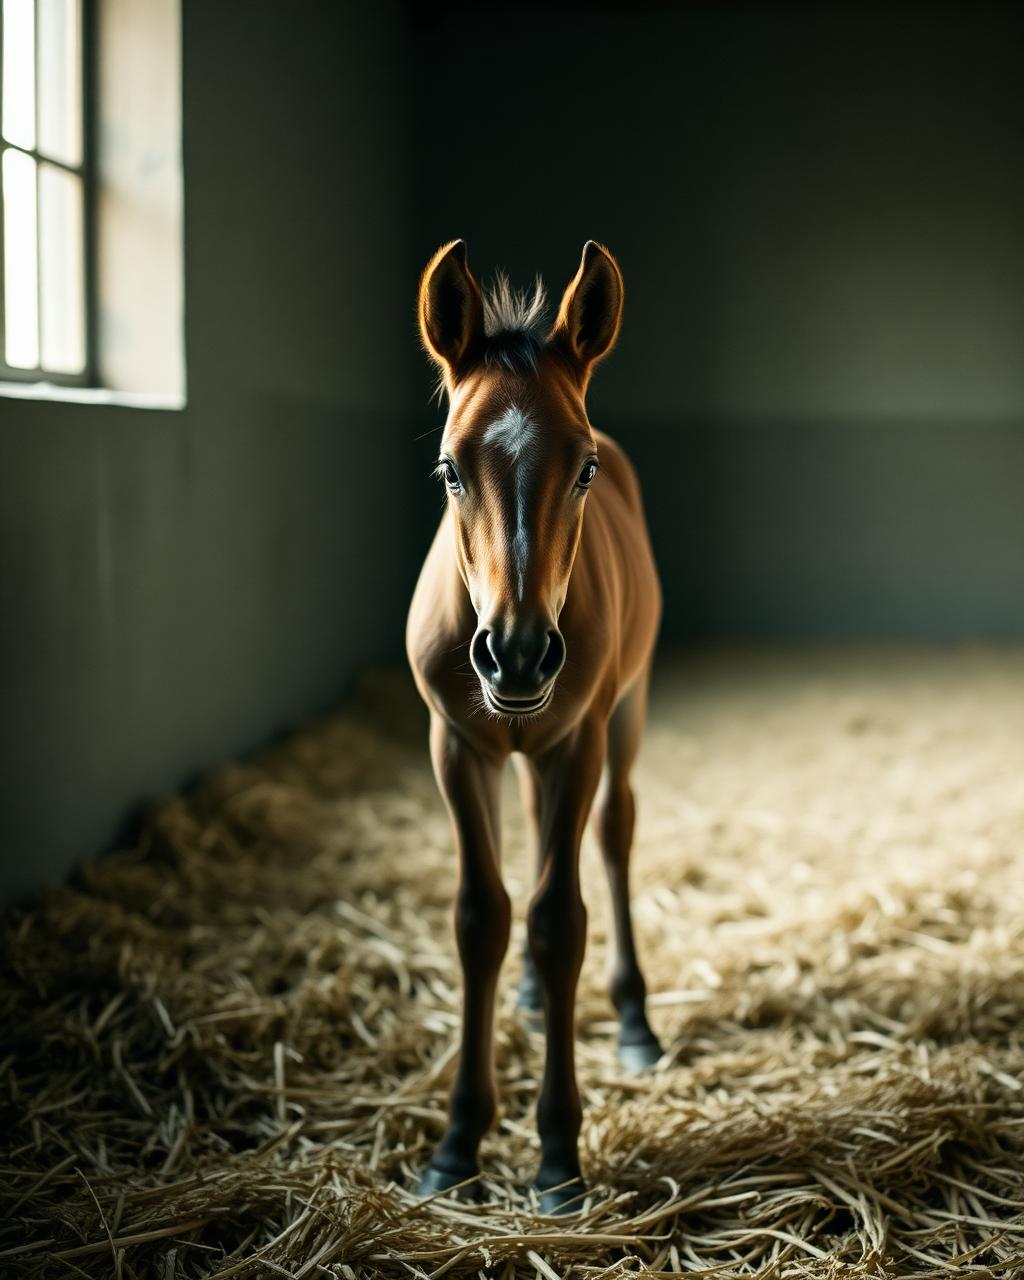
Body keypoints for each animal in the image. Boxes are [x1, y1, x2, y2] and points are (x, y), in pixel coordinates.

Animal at [406, 240, 662, 1213]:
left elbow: (559, 920)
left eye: (581, 467)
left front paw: (557, 1153)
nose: (516, 656)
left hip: (623, 712)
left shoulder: (573, 740)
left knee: (615, 834)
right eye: (448, 468)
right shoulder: (456, 744)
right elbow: (482, 917)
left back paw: (635, 1021)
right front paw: (456, 1145)